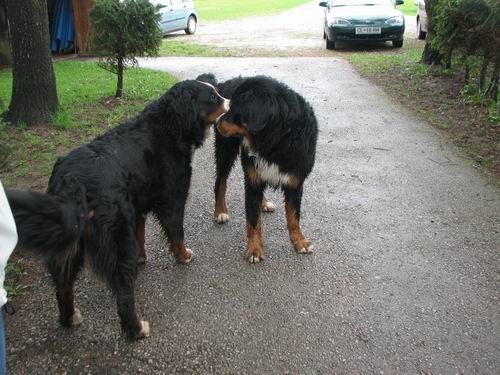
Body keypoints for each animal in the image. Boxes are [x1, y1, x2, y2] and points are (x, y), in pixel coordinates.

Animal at [6, 79, 229, 340]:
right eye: (212, 97)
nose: (229, 101)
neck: (170, 124)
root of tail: (73, 180)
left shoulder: (137, 205)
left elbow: (140, 236)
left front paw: (141, 258)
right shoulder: (172, 196)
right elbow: (176, 232)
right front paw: (183, 255)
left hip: (69, 242)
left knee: (62, 285)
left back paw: (69, 318)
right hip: (116, 236)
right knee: (123, 292)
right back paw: (137, 328)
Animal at [199, 75, 316, 264]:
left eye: (236, 108)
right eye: (230, 105)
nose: (216, 121)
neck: (274, 142)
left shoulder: (295, 182)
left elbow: (294, 217)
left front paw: (299, 241)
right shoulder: (252, 178)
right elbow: (253, 220)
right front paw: (254, 249)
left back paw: (264, 203)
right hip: (226, 152)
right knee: (220, 183)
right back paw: (220, 211)